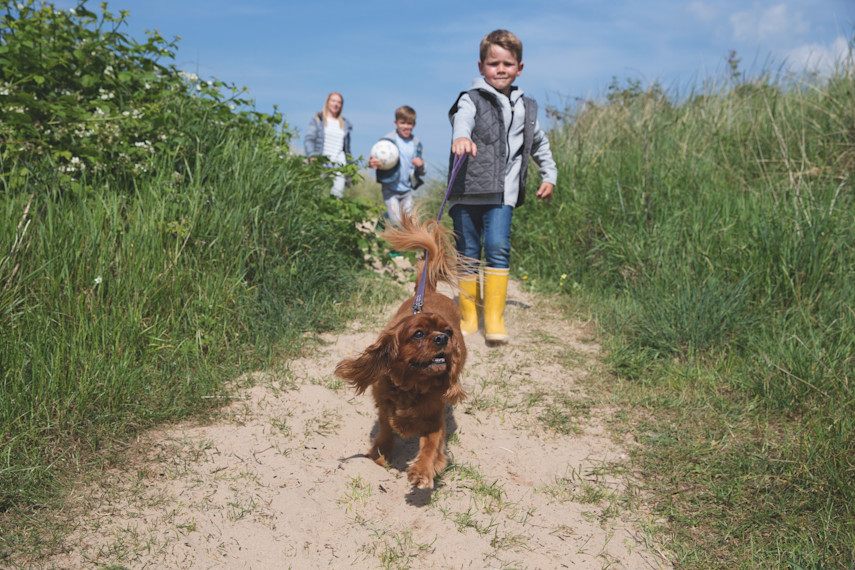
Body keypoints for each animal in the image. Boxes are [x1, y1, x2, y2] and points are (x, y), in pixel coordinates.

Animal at [334, 211, 468, 486]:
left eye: (448, 332)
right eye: (418, 334)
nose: (442, 339)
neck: (413, 385)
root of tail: (429, 290)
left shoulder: (435, 418)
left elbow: (431, 446)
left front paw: (423, 471)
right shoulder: (384, 405)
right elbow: (387, 427)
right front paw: (381, 454)